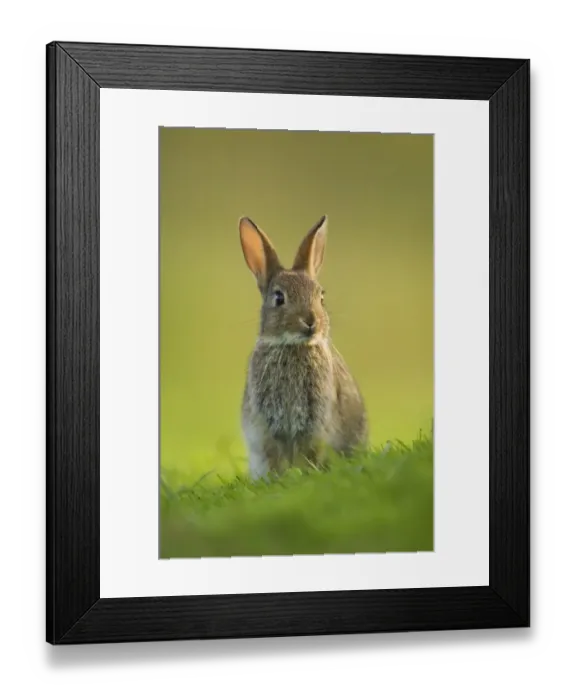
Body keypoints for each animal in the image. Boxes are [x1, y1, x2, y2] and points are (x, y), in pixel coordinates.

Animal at [239, 215, 368, 480]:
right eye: (279, 298)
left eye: (321, 297)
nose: (311, 321)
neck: (293, 345)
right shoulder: (268, 428)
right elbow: (274, 457)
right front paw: (276, 480)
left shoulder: (315, 424)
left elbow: (309, 454)